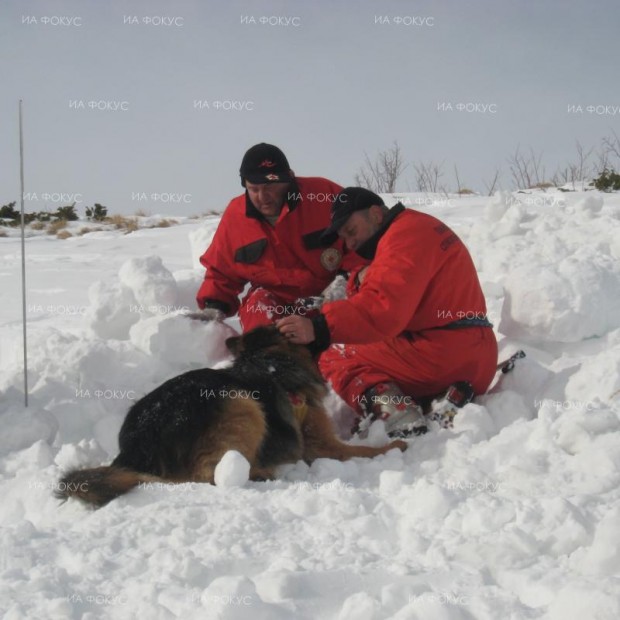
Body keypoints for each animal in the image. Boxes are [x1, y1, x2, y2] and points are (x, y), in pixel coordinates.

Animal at [57, 326, 406, 506]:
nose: (322, 321)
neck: (272, 362)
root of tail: (134, 449)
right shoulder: (320, 445)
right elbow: (363, 451)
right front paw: (393, 447)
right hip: (241, 404)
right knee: (208, 472)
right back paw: (258, 473)